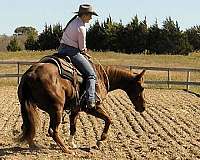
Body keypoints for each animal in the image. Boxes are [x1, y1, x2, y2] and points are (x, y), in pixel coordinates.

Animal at [17, 57, 145, 154]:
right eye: (142, 87)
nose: (143, 107)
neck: (101, 77)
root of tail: (31, 74)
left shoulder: (75, 109)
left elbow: (73, 127)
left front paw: (72, 143)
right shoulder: (93, 107)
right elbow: (108, 119)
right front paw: (100, 140)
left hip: (28, 106)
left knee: (27, 126)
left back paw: (34, 146)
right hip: (56, 109)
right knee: (53, 130)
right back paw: (66, 150)